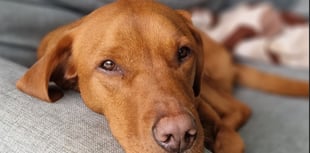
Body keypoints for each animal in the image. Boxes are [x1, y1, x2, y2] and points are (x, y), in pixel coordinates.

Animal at [16, 0, 308, 152]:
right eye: (108, 65)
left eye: (183, 52)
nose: (178, 135)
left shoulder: (197, 99)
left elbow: (227, 133)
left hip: (207, 83)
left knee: (240, 107)